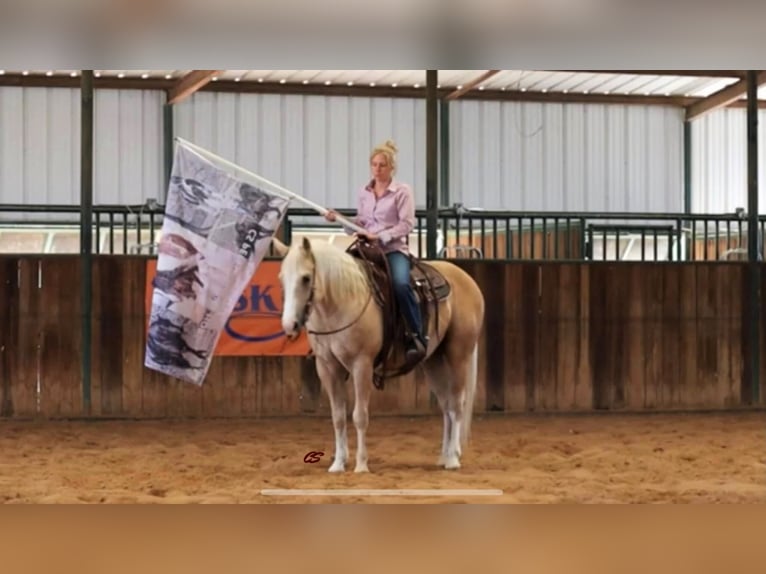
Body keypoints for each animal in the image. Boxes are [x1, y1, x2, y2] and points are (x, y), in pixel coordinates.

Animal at [272, 236, 486, 474]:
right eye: (282, 278)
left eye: (306, 278)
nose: (289, 325)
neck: (343, 303)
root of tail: (467, 279)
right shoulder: (327, 367)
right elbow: (338, 417)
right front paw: (338, 464)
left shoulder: (361, 364)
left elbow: (359, 416)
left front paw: (361, 464)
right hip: (433, 361)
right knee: (446, 405)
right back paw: (444, 455)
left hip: (459, 354)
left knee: (457, 404)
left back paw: (453, 459)